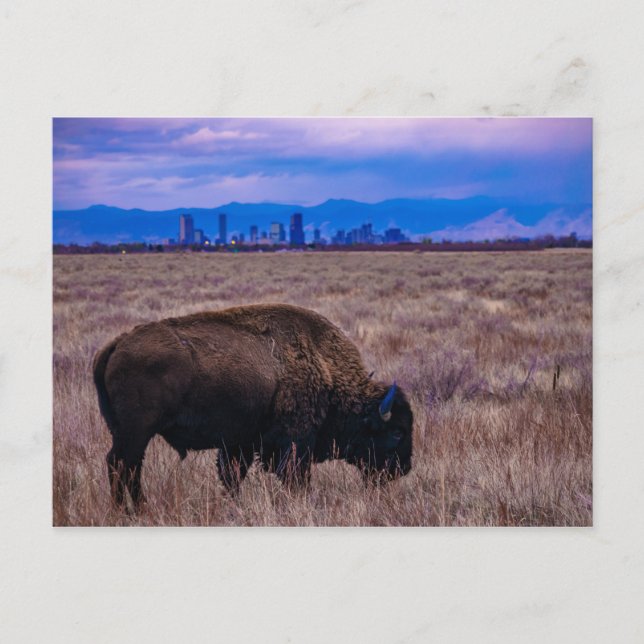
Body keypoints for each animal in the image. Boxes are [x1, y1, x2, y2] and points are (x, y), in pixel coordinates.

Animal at [93, 303, 413, 508]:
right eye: (397, 431)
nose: (405, 468)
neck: (324, 367)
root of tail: (117, 343)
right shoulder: (294, 445)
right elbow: (295, 480)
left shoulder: (239, 444)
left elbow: (232, 477)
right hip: (136, 432)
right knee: (122, 465)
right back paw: (133, 511)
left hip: (126, 432)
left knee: (128, 466)